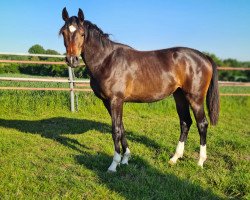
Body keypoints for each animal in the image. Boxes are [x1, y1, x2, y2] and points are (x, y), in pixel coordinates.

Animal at [60, 7, 219, 173]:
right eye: (64, 32)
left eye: (82, 33)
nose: (72, 60)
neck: (106, 60)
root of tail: (204, 57)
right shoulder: (108, 102)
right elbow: (122, 128)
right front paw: (125, 158)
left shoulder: (116, 100)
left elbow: (116, 130)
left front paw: (114, 164)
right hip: (180, 96)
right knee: (185, 122)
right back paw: (175, 158)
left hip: (195, 98)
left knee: (202, 124)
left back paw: (200, 161)